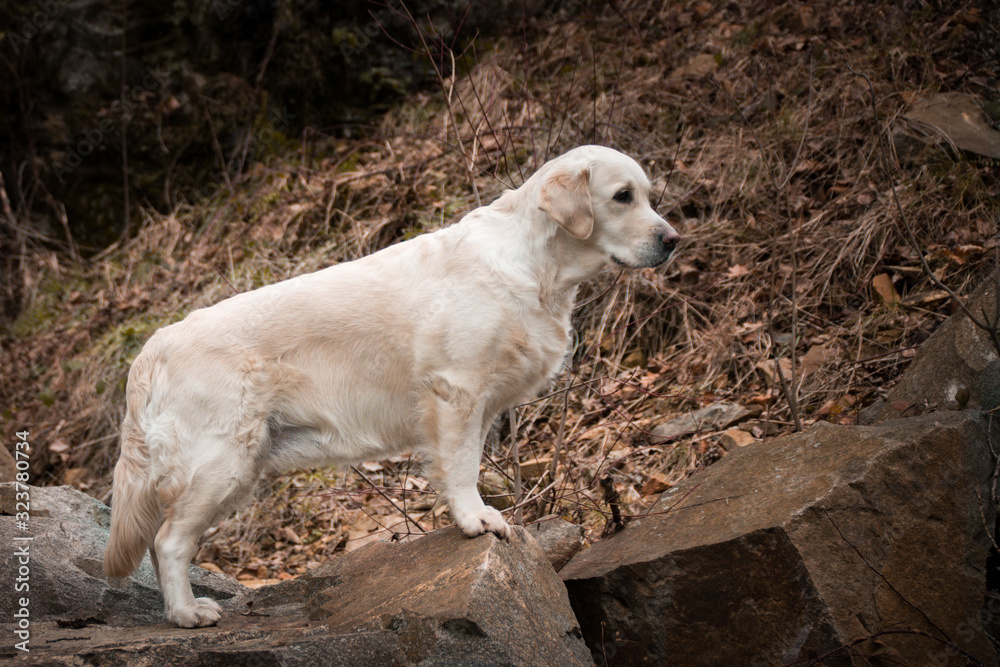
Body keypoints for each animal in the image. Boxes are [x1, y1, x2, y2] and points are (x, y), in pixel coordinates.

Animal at [104, 145, 680, 627]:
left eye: (649, 195)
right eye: (622, 197)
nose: (673, 240)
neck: (538, 267)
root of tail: (152, 348)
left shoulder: (479, 405)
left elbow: (466, 463)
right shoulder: (457, 392)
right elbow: (463, 468)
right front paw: (476, 519)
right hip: (220, 461)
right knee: (168, 542)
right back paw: (187, 614)